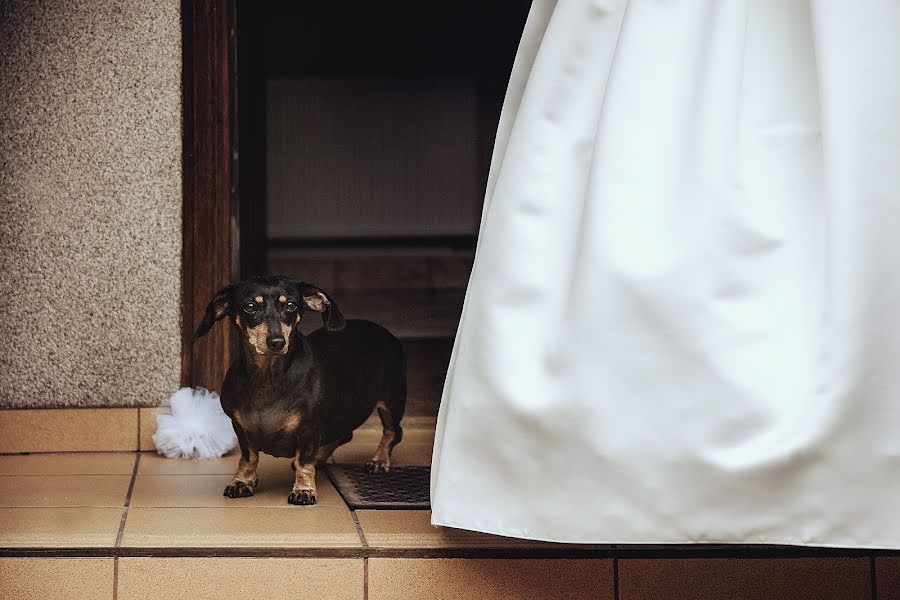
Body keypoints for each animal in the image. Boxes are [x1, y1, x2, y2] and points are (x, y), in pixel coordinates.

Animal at [198, 276, 412, 502]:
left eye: (291, 305)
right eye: (250, 307)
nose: (277, 342)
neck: (267, 376)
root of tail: (384, 331)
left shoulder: (309, 429)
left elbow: (304, 461)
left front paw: (304, 489)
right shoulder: (240, 428)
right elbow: (248, 458)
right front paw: (242, 482)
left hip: (392, 400)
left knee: (393, 431)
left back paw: (379, 460)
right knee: (344, 435)